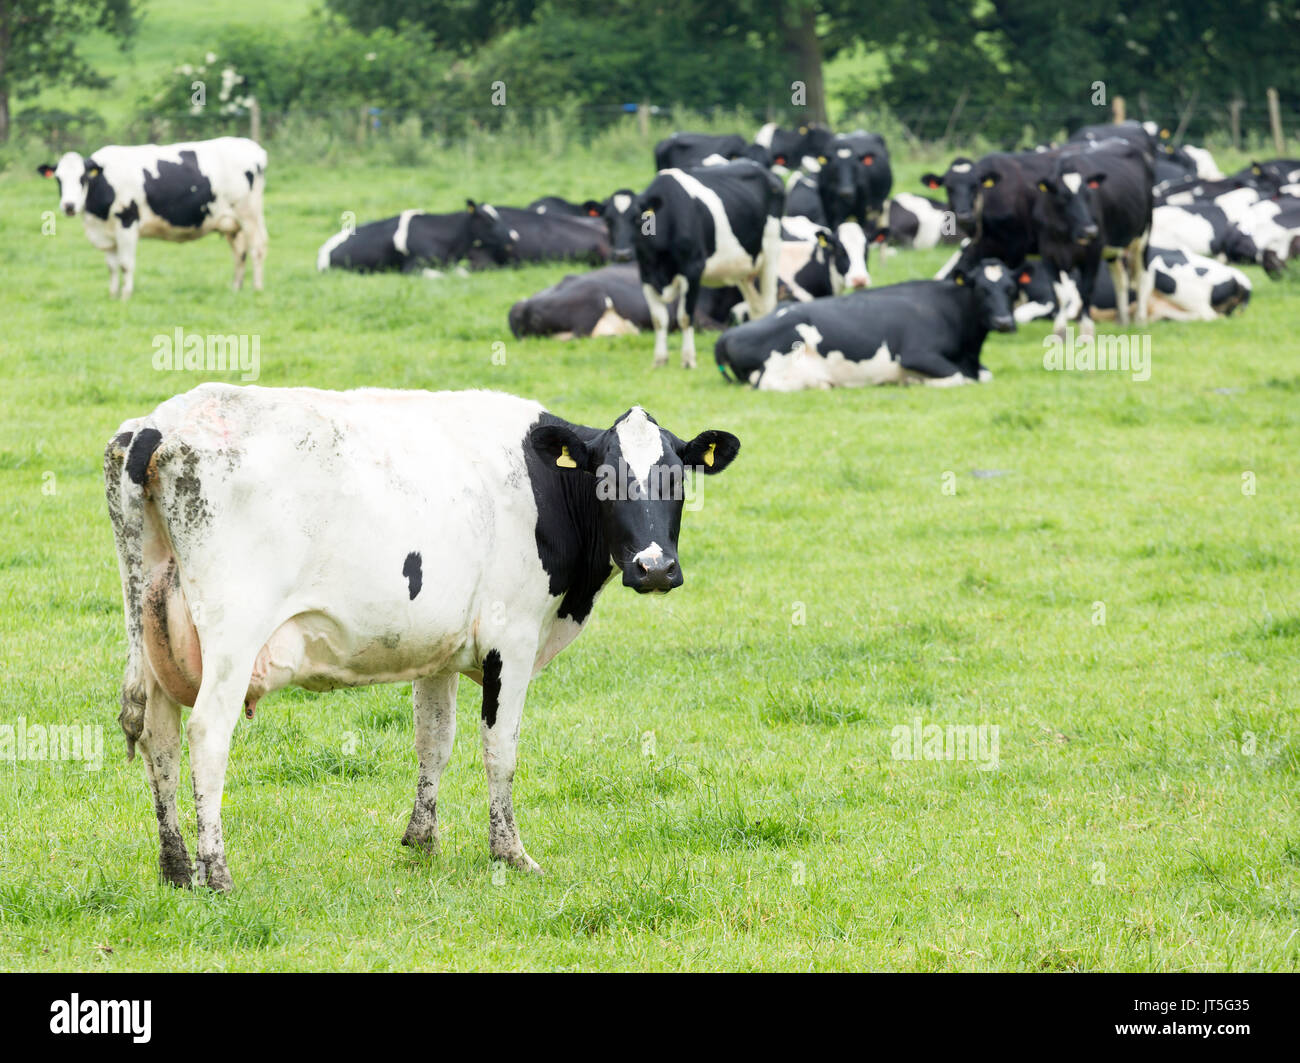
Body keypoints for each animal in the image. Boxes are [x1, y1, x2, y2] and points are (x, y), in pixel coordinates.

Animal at [38, 137, 268, 299]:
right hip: (231, 222)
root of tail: (254, 148)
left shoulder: (127, 224)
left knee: (257, 249)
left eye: (83, 178)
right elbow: (112, 267)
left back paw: (257, 288)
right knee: (239, 253)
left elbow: (125, 264)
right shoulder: (107, 234)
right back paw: (236, 288)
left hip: (250, 214)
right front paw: (113, 295)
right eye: (58, 179)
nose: (69, 206)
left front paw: (125, 296)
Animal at [104, 384, 740, 890]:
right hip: (232, 636)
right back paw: (216, 872)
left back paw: (175, 868)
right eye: (607, 478)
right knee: (206, 737)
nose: (655, 567)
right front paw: (510, 853)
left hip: (154, 630)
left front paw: (422, 840)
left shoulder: (439, 650)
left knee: (159, 738)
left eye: (678, 478)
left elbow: (434, 741)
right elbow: (500, 749)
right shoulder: (511, 639)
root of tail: (162, 422)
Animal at [620, 162, 784, 368]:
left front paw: (688, 360)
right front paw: (659, 360)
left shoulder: (692, 270)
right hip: (744, 268)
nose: (622, 254)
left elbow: (685, 316)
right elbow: (658, 319)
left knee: (768, 303)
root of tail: (765, 171)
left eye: (638, 218)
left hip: (770, 254)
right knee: (757, 308)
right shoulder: (647, 276)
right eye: (609, 220)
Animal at [714, 259, 1019, 391]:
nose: (1004, 322)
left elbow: (982, 375)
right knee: (765, 383)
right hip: (786, 343)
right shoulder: (917, 354)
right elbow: (956, 377)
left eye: (1011, 289)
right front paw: (912, 381)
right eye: (982, 289)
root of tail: (726, 335)